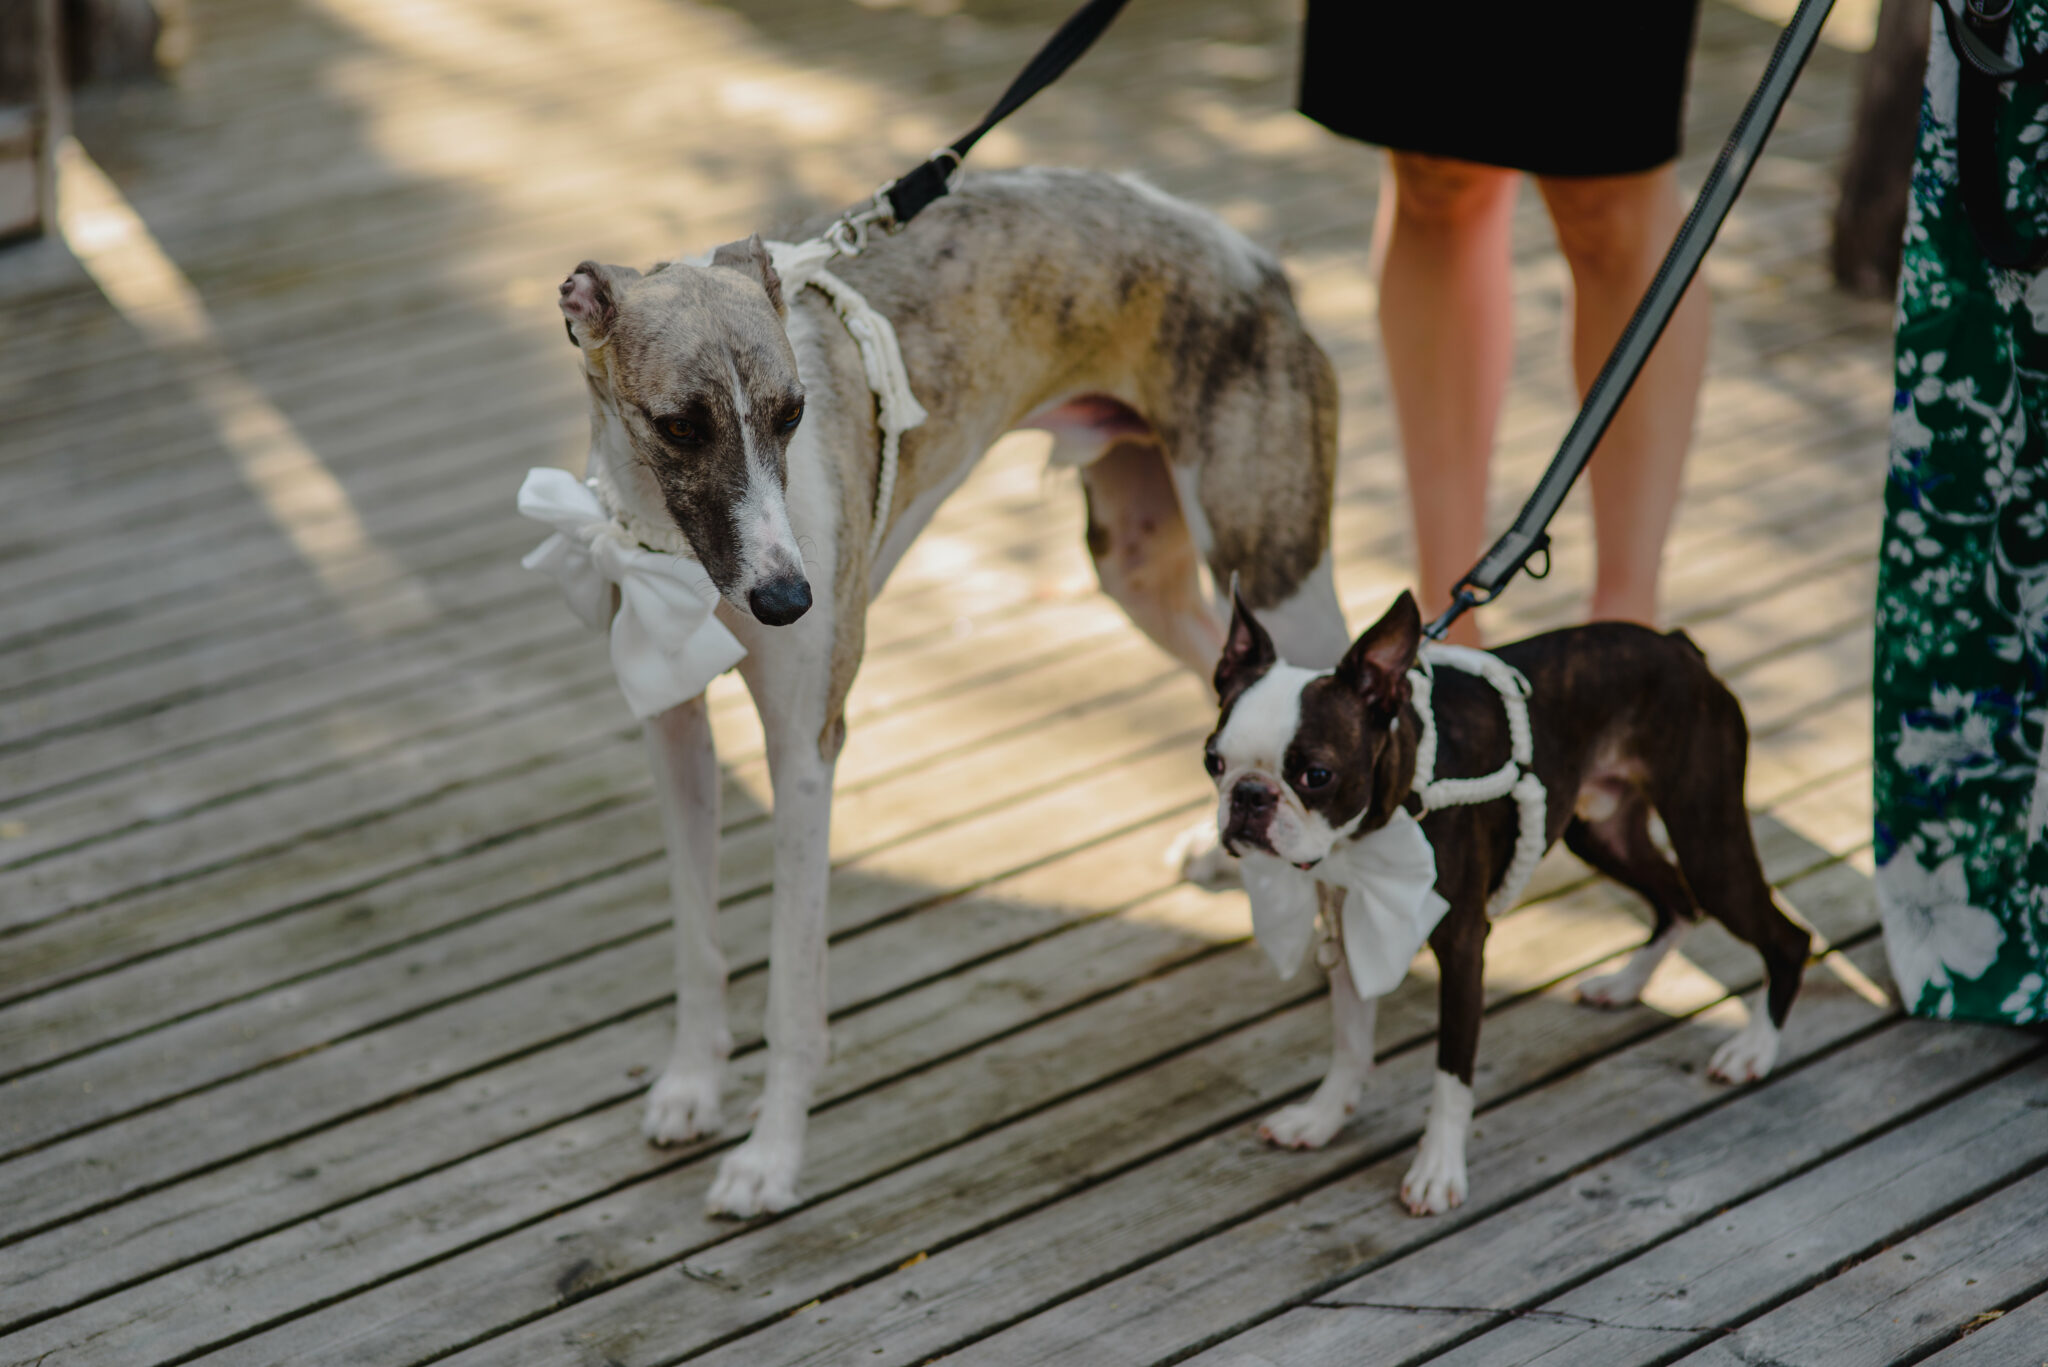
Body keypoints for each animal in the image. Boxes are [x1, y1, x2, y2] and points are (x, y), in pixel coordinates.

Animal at [561, 166, 1359, 1213]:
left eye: (792, 412)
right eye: (680, 425)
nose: (789, 600)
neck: (681, 553)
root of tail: (1259, 262)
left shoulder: (806, 749)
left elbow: (794, 990)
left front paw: (770, 1158)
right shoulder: (674, 726)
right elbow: (698, 942)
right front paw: (691, 1086)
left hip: (1276, 571)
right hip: (1137, 564)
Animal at [1196, 594, 1810, 1213]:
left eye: (1316, 775)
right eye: (1212, 761)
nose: (1249, 796)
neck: (1397, 797)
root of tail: (1681, 647)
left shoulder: (1463, 946)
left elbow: (1451, 1073)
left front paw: (1437, 1170)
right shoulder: (1352, 925)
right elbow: (1349, 1042)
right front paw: (1322, 1118)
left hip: (1707, 840)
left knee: (1785, 936)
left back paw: (1754, 1048)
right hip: (1601, 831)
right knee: (1676, 900)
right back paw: (1624, 984)